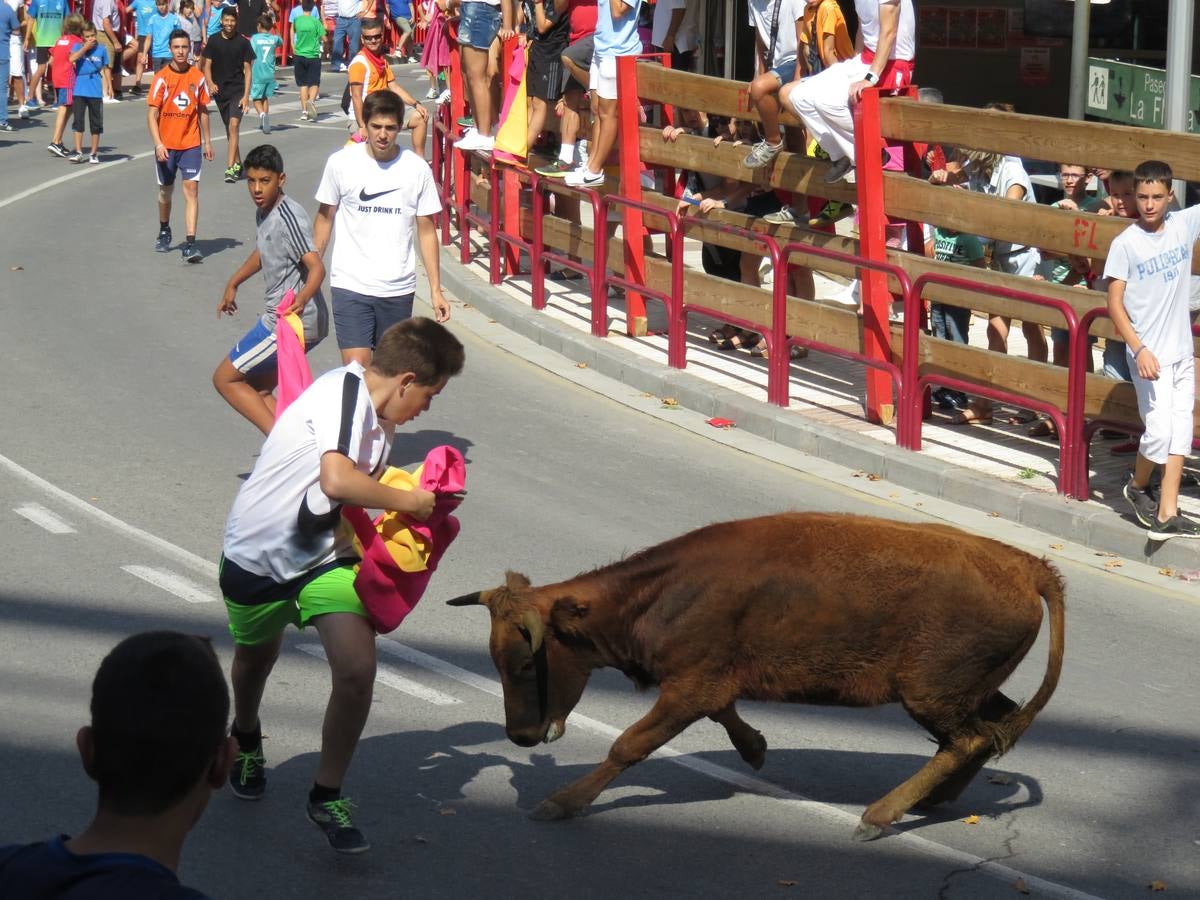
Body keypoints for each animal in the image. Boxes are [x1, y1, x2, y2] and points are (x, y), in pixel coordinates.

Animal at [446, 513, 1065, 844]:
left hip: (929, 694)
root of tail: (1026, 566)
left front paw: (561, 802)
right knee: (987, 732)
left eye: (527, 662)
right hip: (960, 692)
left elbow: (629, 746)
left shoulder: (689, 687)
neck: (661, 592)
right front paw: (756, 748)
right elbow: (726, 714)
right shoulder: (707, 683)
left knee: (969, 738)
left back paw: (877, 816)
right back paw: (935, 799)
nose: (520, 736)